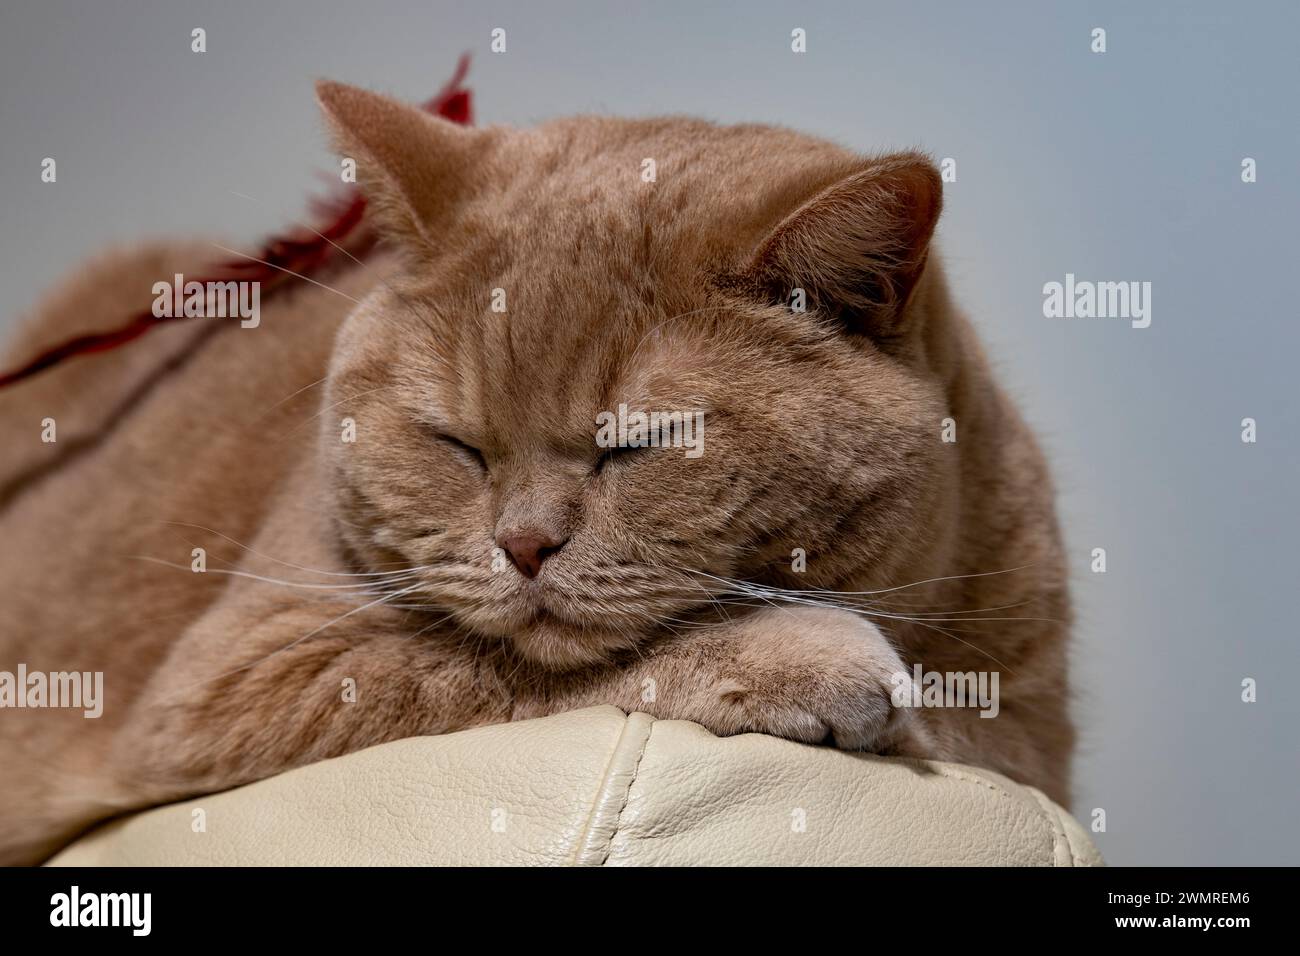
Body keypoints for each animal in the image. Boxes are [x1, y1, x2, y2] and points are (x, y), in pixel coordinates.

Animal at [0, 78, 1071, 863]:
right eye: (458, 443)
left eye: (638, 443)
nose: (522, 544)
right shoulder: (247, 670)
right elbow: (529, 665)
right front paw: (799, 654)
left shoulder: (1029, 736)